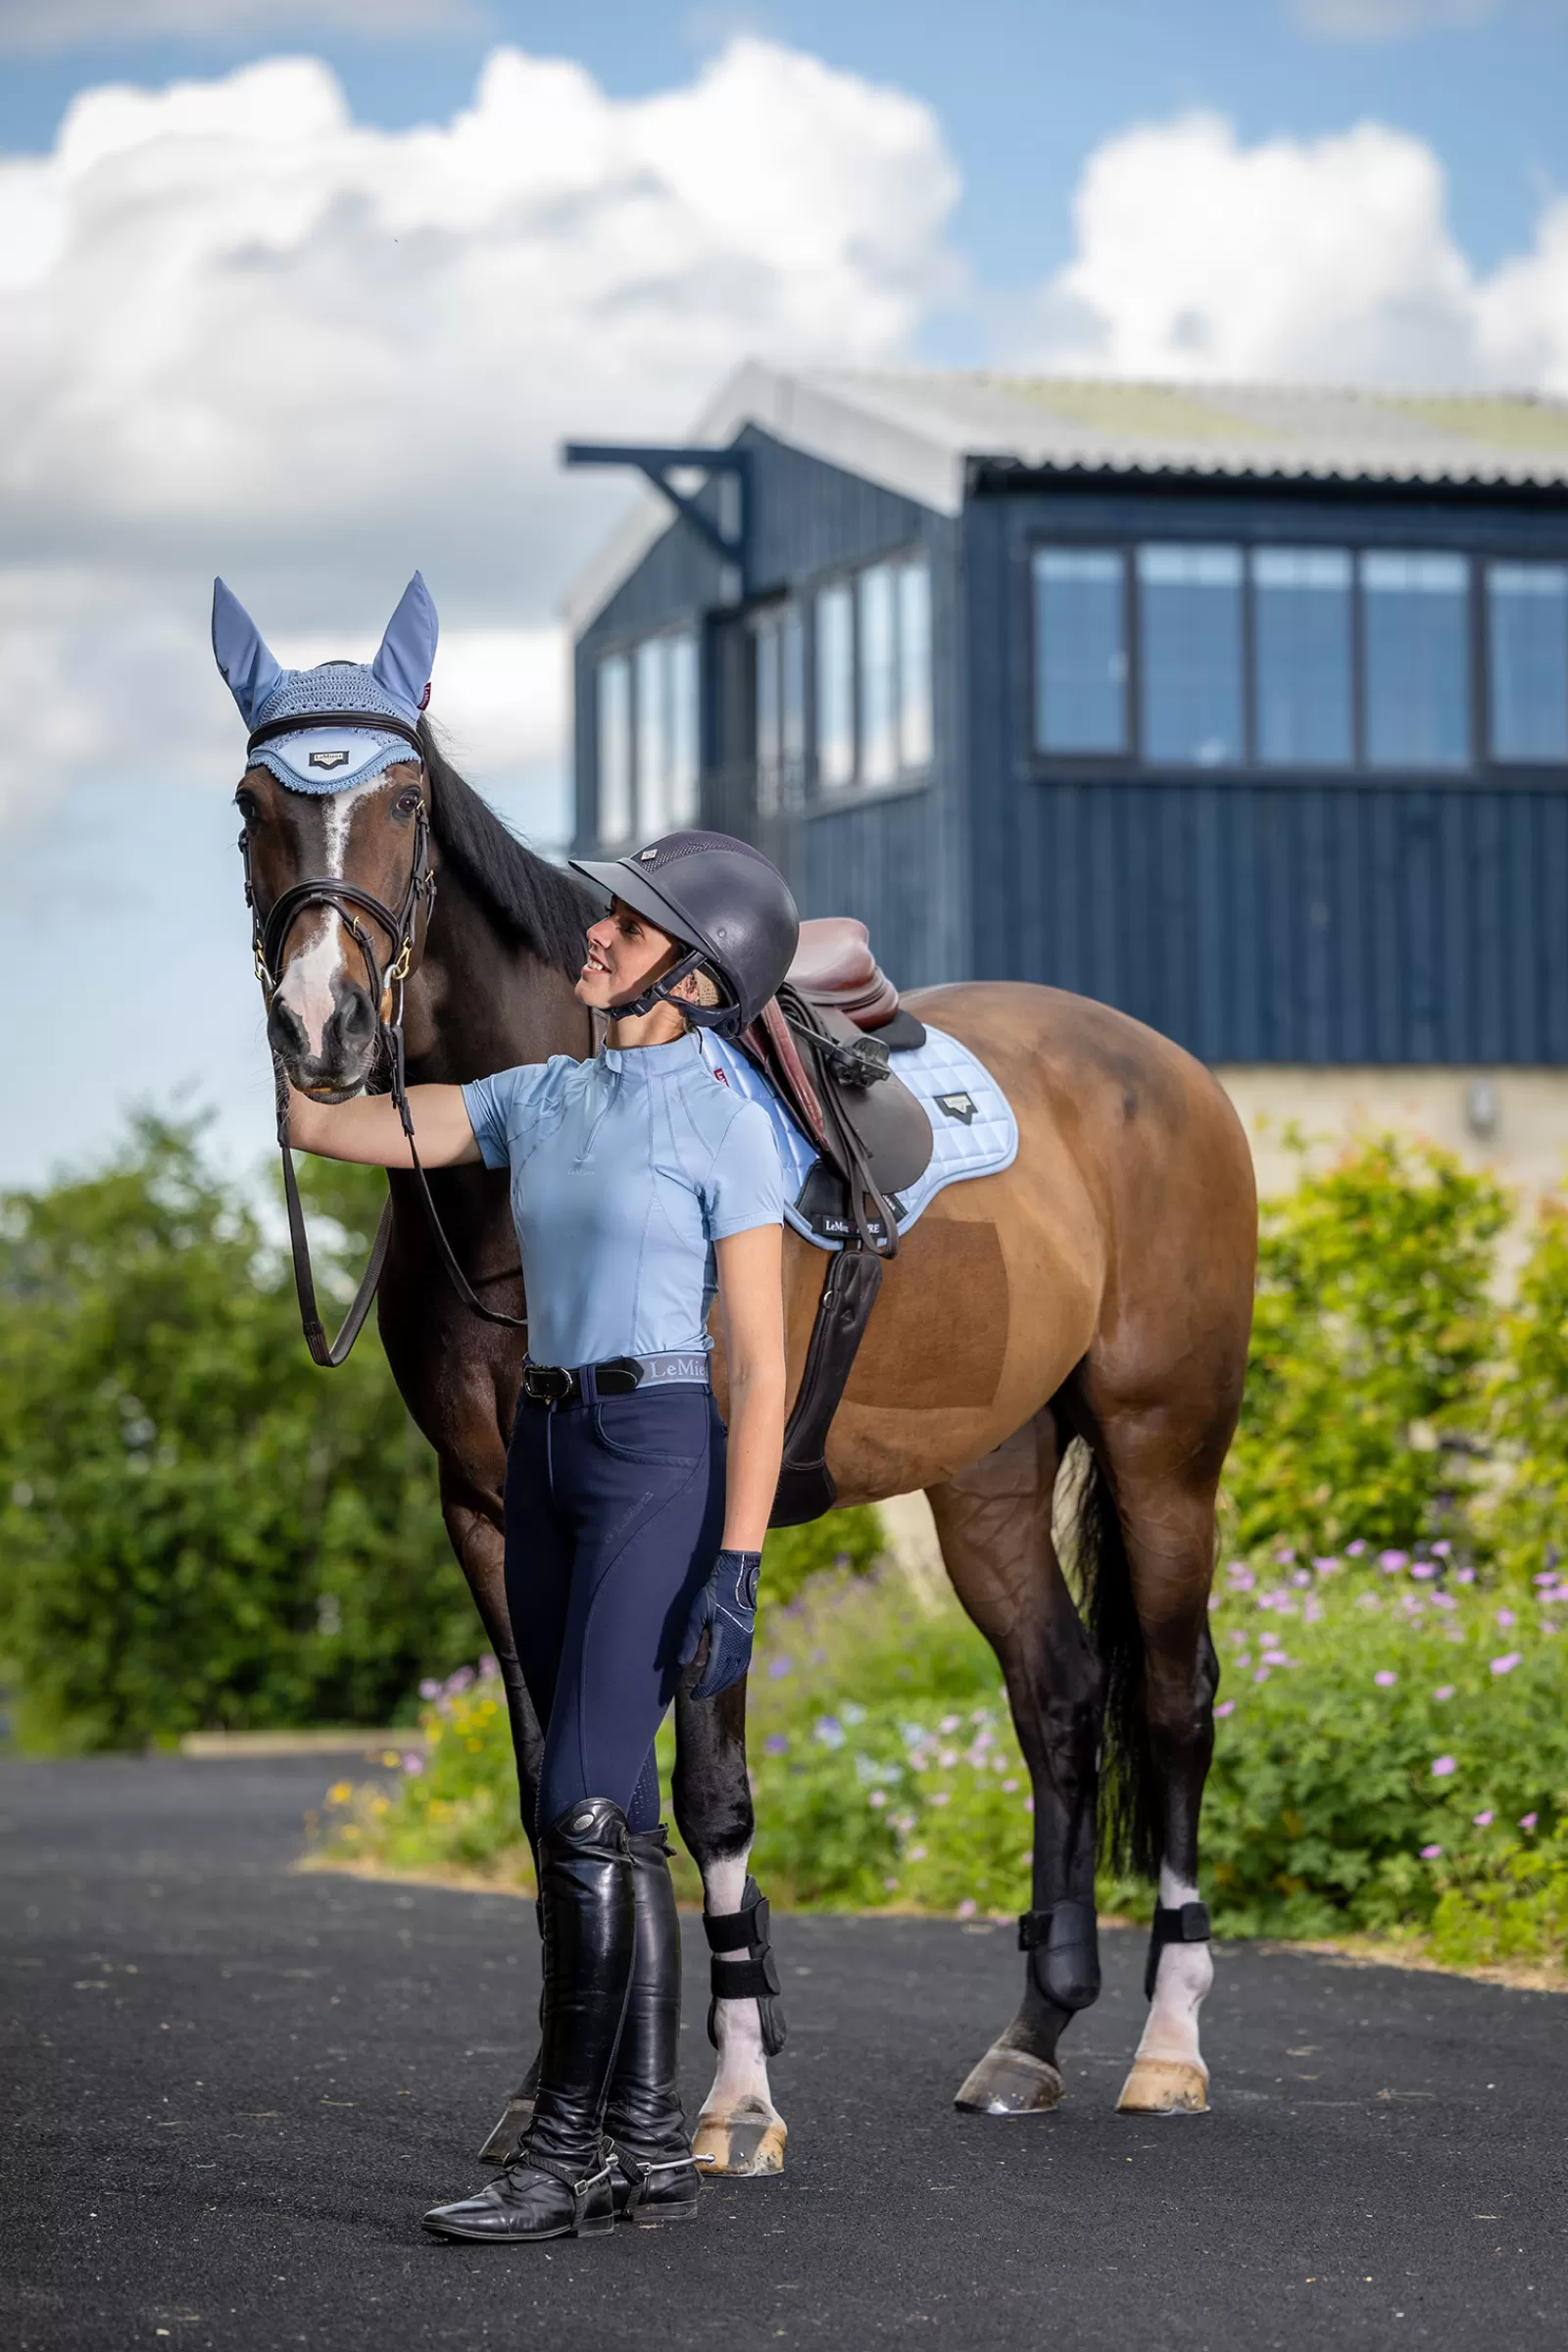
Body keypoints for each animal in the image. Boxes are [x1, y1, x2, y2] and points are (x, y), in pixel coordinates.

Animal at [232, 724, 1259, 2173]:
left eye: (405, 801)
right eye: (252, 803)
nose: (322, 1027)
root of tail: (1166, 1069)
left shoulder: (708, 1517)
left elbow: (708, 1791)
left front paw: (735, 2105)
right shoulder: (490, 1517)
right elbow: (558, 1787)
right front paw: (550, 2097)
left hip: (1164, 1447)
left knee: (1172, 1702)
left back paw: (1169, 2049)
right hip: (988, 1479)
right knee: (1058, 1695)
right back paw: (1033, 2034)